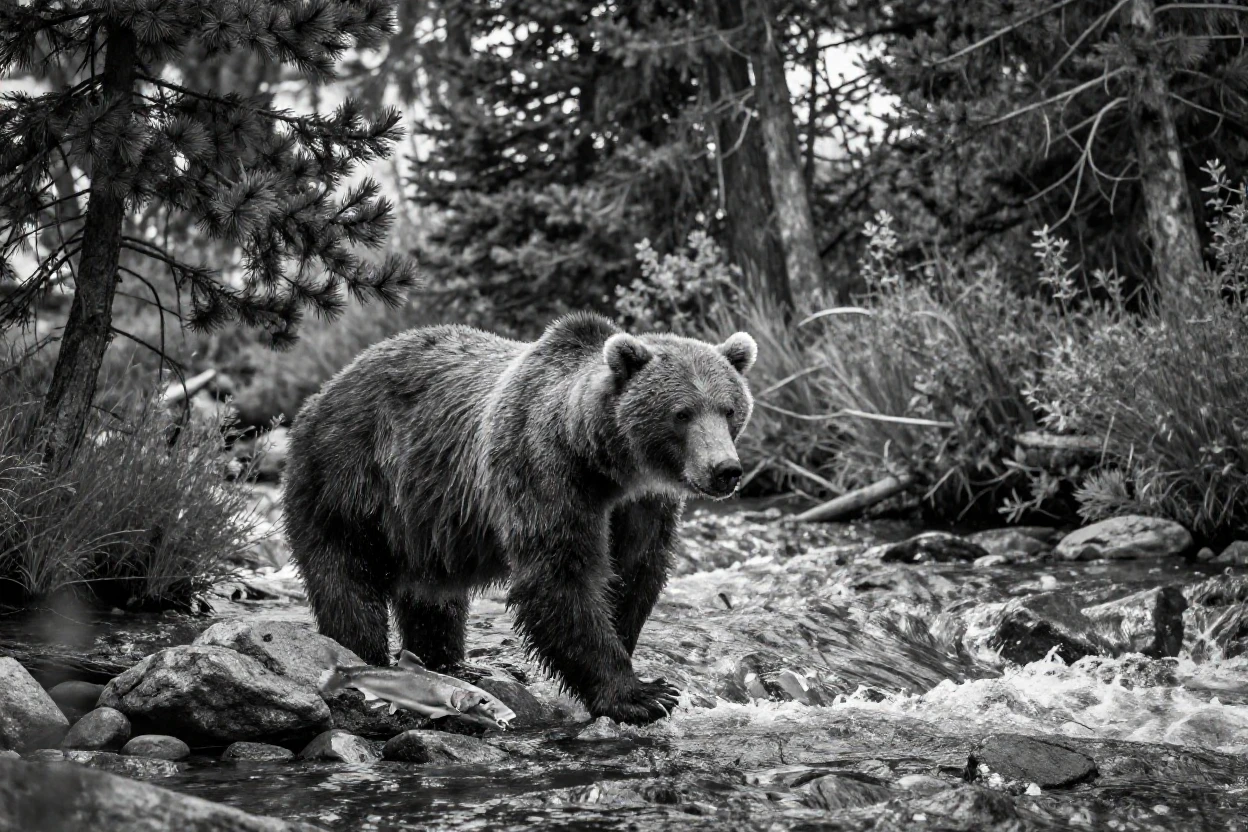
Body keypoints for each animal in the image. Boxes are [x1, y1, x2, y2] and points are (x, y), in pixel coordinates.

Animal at [282, 311, 757, 724]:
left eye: (729, 409)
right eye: (682, 413)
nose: (725, 470)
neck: (606, 464)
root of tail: (325, 389)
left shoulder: (643, 504)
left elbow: (635, 571)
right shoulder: (542, 470)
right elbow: (561, 575)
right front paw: (643, 695)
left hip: (422, 519)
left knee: (432, 597)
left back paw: (446, 664)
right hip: (346, 477)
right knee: (346, 576)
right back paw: (364, 658)